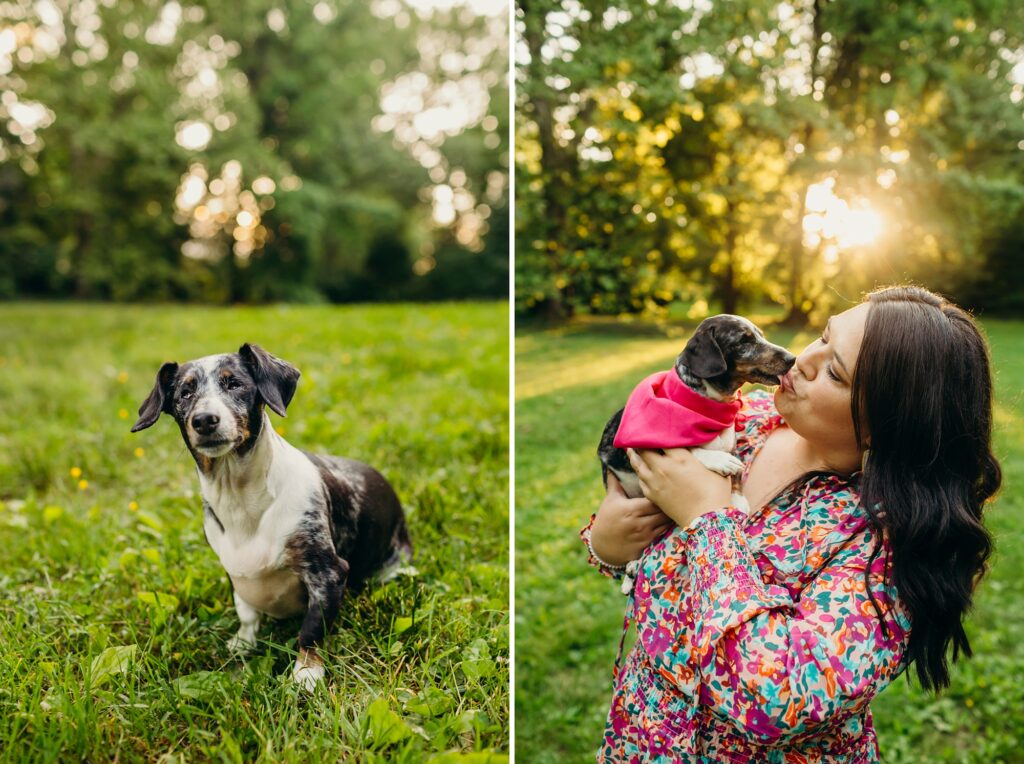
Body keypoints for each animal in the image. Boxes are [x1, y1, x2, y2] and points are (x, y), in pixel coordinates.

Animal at [130, 342, 409, 688]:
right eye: (185, 392)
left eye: (234, 383)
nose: (205, 420)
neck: (241, 499)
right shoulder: (234, 572)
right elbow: (246, 611)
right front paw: (244, 642)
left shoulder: (327, 573)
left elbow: (311, 629)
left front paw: (306, 673)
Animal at [598, 313, 794, 499]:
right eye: (743, 341)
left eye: (761, 336)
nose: (792, 358)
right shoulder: (643, 445)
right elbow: (687, 448)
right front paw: (721, 460)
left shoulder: (732, 446)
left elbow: (736, 477)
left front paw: (738, 500)